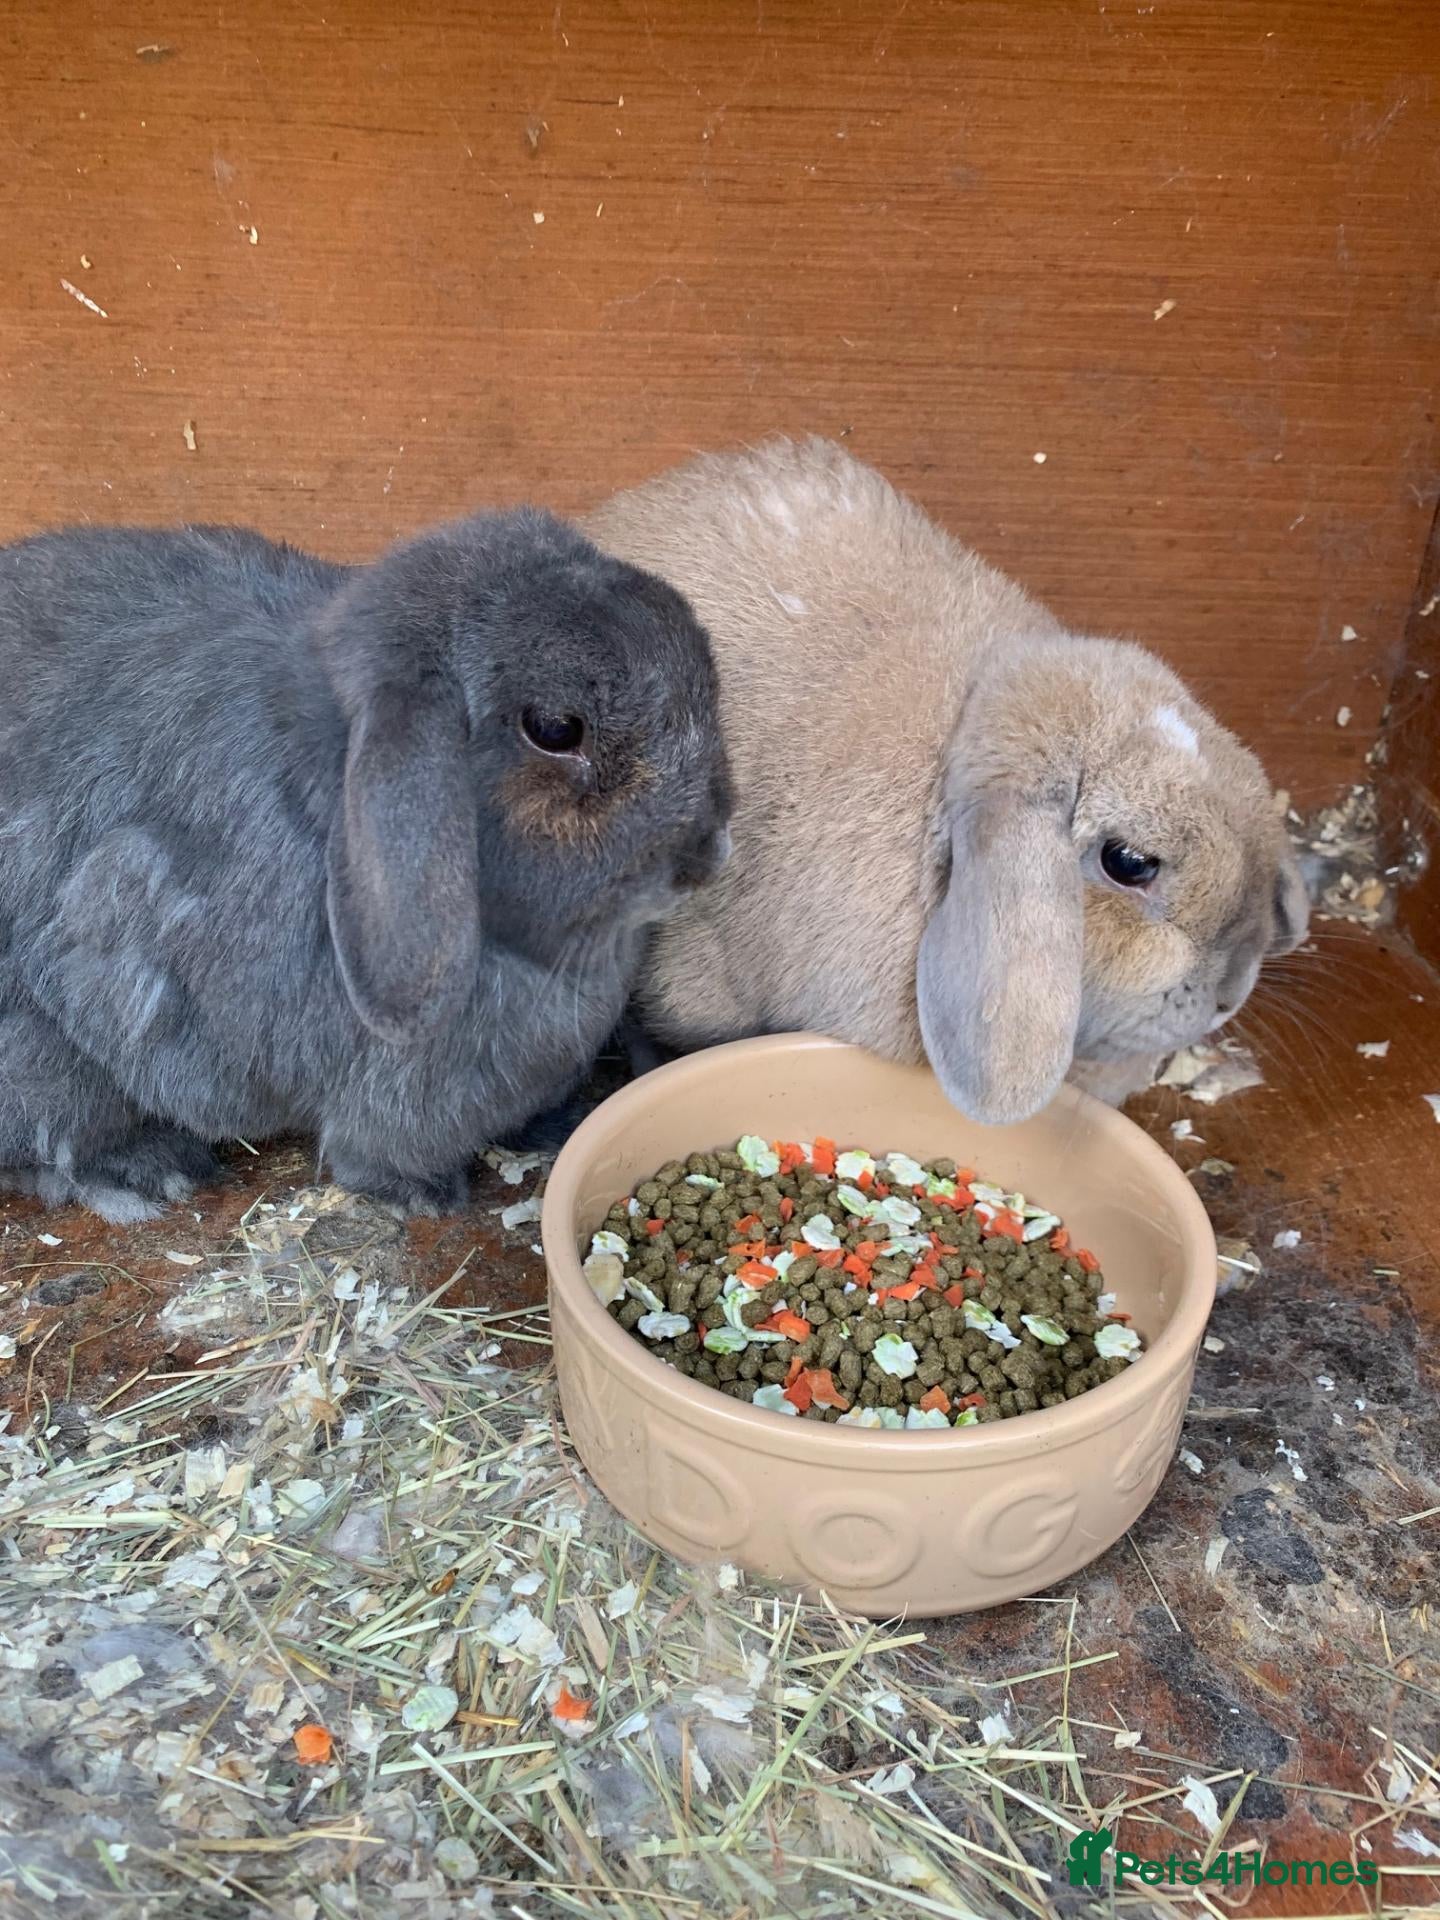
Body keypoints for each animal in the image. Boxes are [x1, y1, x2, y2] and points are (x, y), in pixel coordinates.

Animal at [0, 509, 731, 1221]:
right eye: (554, 728)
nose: (709, 848)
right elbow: (376, 1149)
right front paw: (425, 1194)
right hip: (47, 1063)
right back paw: (152, 1169)